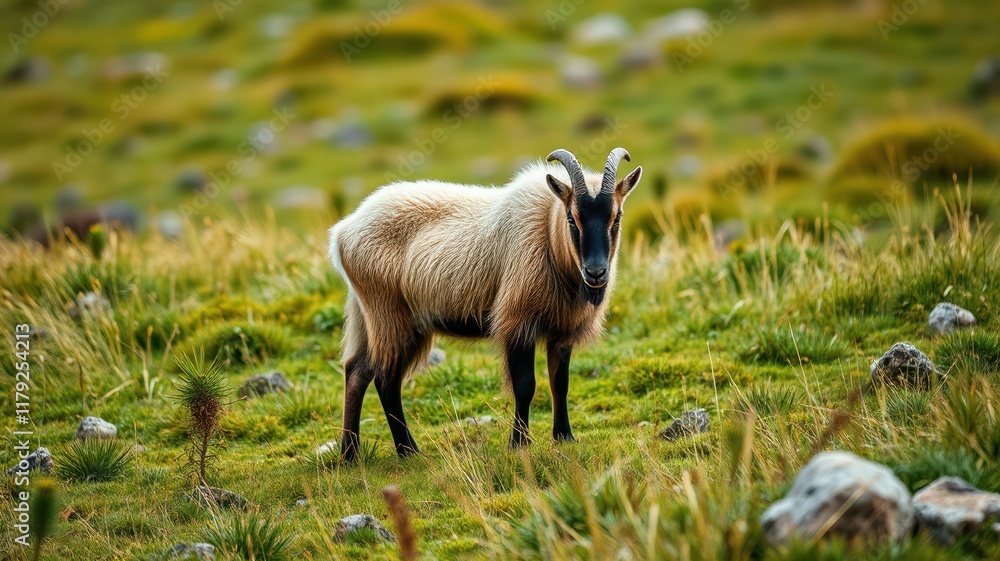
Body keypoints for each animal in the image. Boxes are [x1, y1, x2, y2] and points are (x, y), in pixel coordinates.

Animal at [328, 147, 641, 461]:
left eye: (617, 217)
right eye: (572, 218)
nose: (596, 273)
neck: (548, 232)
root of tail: (343, 232)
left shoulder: (562, 332)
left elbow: (559, 383)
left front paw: (564, 436)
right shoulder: (517, 322)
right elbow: (525, 386)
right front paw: (519, 443)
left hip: (370, 316)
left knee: (357, 371)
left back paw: (350, 454)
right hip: (390, 317)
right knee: (385, 380)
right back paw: (407, 450)